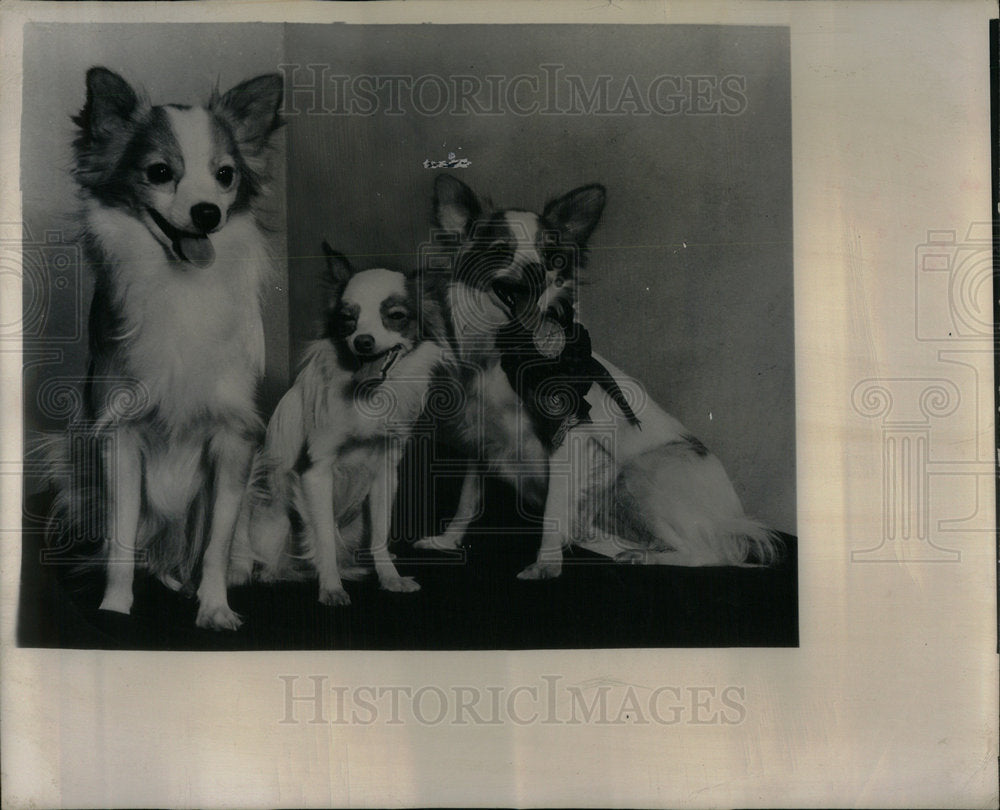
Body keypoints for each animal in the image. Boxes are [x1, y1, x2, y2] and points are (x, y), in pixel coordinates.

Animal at [42, 66, 284, 628]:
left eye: (225, 176)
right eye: (158, 172)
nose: (208, 212)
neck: (180, 286)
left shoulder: (234, 438)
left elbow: (216, 542)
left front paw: (216, 606)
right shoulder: (119, 437)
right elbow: (120, 538)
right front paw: (115, 606)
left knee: (234, 536)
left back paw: (241, 571)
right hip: (73, 469)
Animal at [232, 243, 452, 604]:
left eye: (395, 316)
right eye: (348, 319)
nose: (363, 341)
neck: (368, 396)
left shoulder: (385, 473)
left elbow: (380, 536)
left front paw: (390, 577)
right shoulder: (316, 471)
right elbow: (322, 538)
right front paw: (331, 587)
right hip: (271, 512)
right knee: (257, 556)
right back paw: (248, 573)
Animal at [418, 175, 776, 580]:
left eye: (551, 258)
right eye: (501, 250)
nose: (536, 271)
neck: (507, 350)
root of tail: (732, 519)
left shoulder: (567, 436)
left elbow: (553, 512)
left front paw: (545, 565)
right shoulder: (481, 441)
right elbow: (468, 500)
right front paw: (447, 542)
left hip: (637, 477)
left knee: (708, 554)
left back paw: (646, 557)